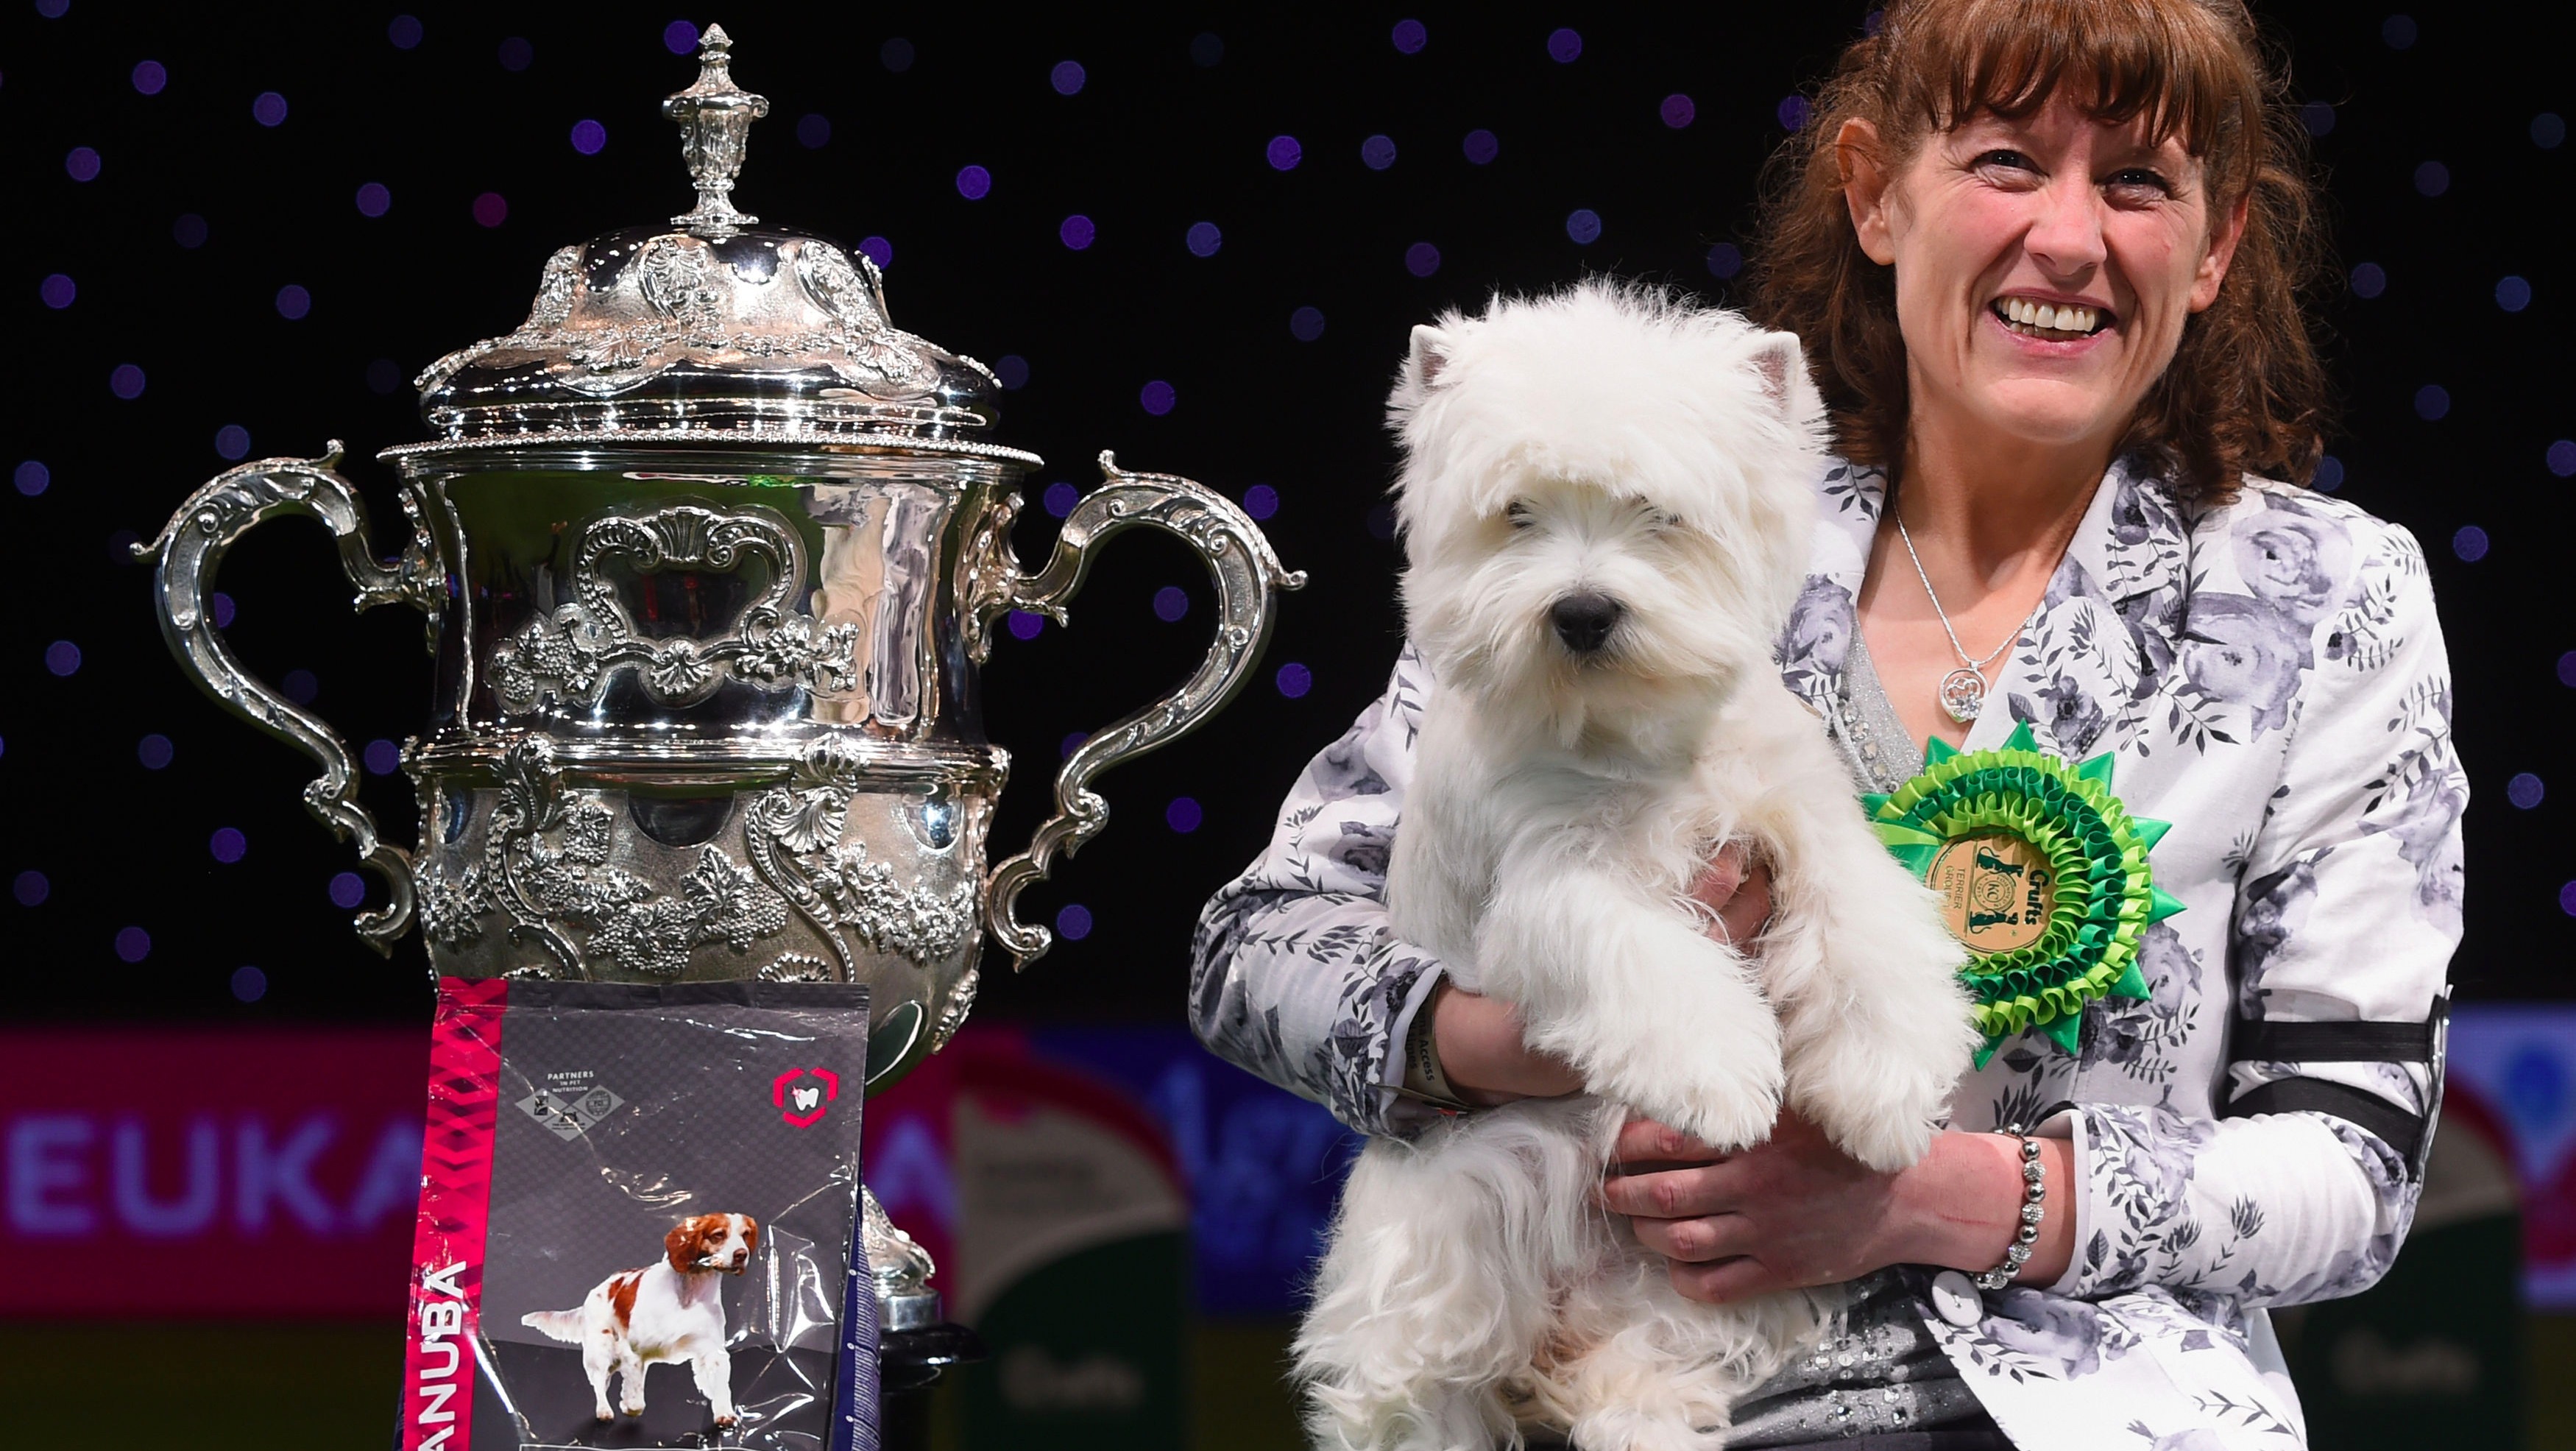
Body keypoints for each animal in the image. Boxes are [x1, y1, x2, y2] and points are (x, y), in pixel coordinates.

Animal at [523, 1216, 757, 1433]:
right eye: (718, 1235)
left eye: (745, 1234)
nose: (742, 1254)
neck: (689, 1293)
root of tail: (595, 1291)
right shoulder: (634, 1351)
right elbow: (636, 1398)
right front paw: (628, 1405)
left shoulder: (712, 1350)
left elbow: (721, 1386)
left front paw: (725, 1415)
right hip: (600, 1350)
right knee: (598, 1383)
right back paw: (604, 1411)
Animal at [1298, 287, 1978, 1451]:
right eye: (1517, 513)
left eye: (1659, 513)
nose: (1581, 612)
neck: (1639, 736)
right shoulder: (1550, 884)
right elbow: (1644, 955)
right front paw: (1723, 1079)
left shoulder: (1802, 820)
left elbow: (1867, 930)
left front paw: (1886, 1091)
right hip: (1453, 1216)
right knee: (1413, 1374)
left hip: (1682, 1293)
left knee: (1643, 1372)